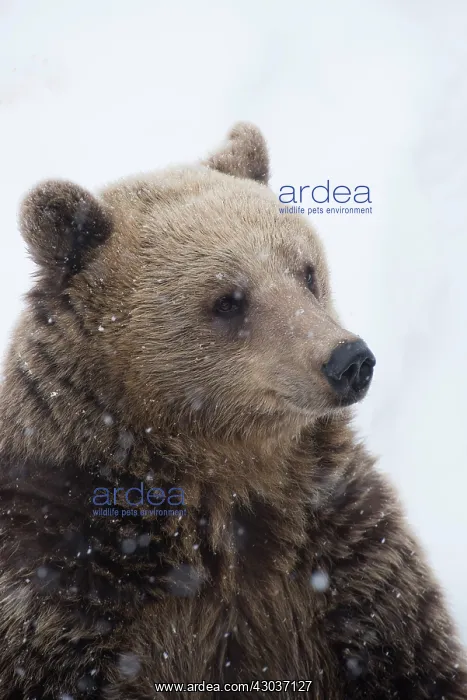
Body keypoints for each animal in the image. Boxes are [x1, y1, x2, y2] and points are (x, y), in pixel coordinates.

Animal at [0, 122, 465, 700]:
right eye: (228, 299)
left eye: (306, 270)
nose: (348, 359)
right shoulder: (64, 578)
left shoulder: (349, 557)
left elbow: (411, 653)